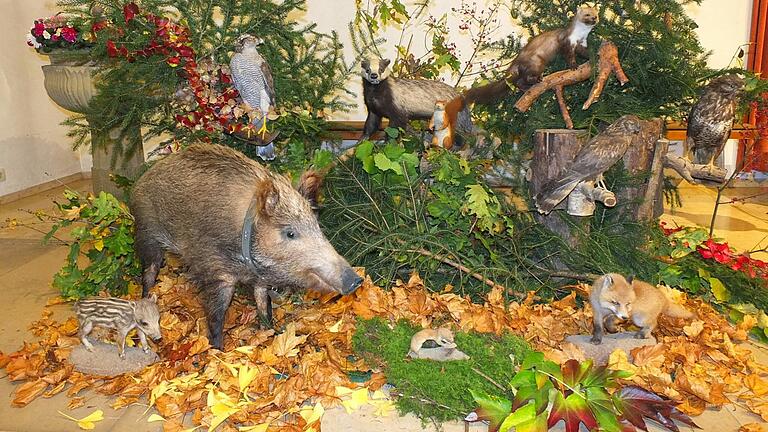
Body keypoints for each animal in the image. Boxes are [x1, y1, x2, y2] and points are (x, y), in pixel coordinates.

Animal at [460, 5, 596, 107]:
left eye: (595, 14)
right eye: (587, 14)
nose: (594, 18)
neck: (580, 35)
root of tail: (516, 61)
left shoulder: (582, 43)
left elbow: (584, 52)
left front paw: (592, 56)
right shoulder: (567, 41)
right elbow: (568, 55)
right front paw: (573, 66)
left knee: (519, 81)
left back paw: (526, 88)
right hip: (537, 62)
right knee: (526, 77)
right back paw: (537, 79)